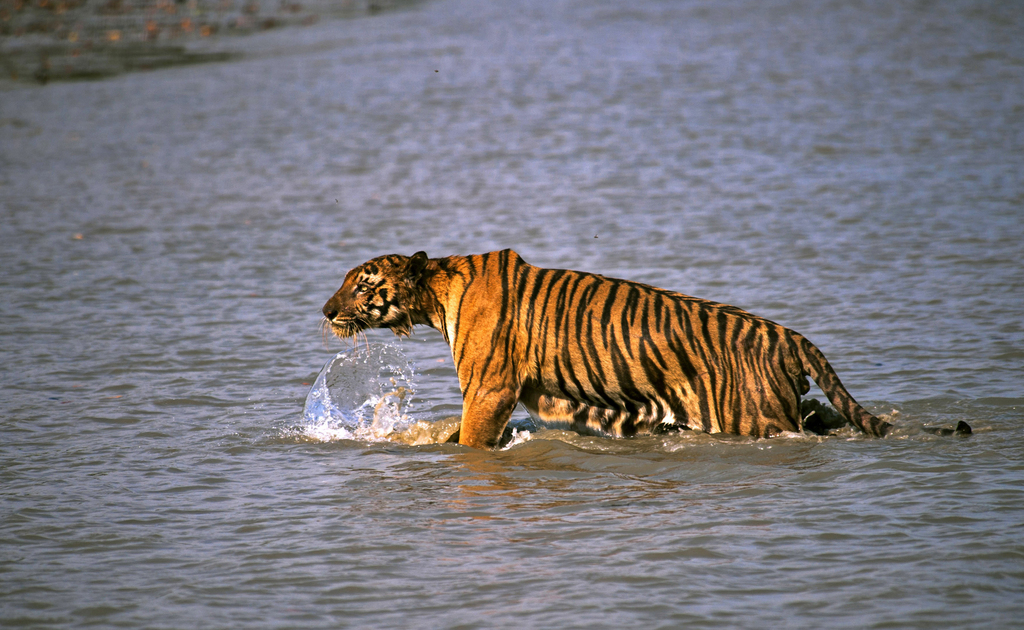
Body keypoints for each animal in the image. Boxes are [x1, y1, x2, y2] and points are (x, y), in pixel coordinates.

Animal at [321, 248, 897, 450]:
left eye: (362, 285)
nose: (325, 310)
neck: (436, 293)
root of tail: (791, 336)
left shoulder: (489, 388)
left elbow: (470, 439)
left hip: (751, 416)